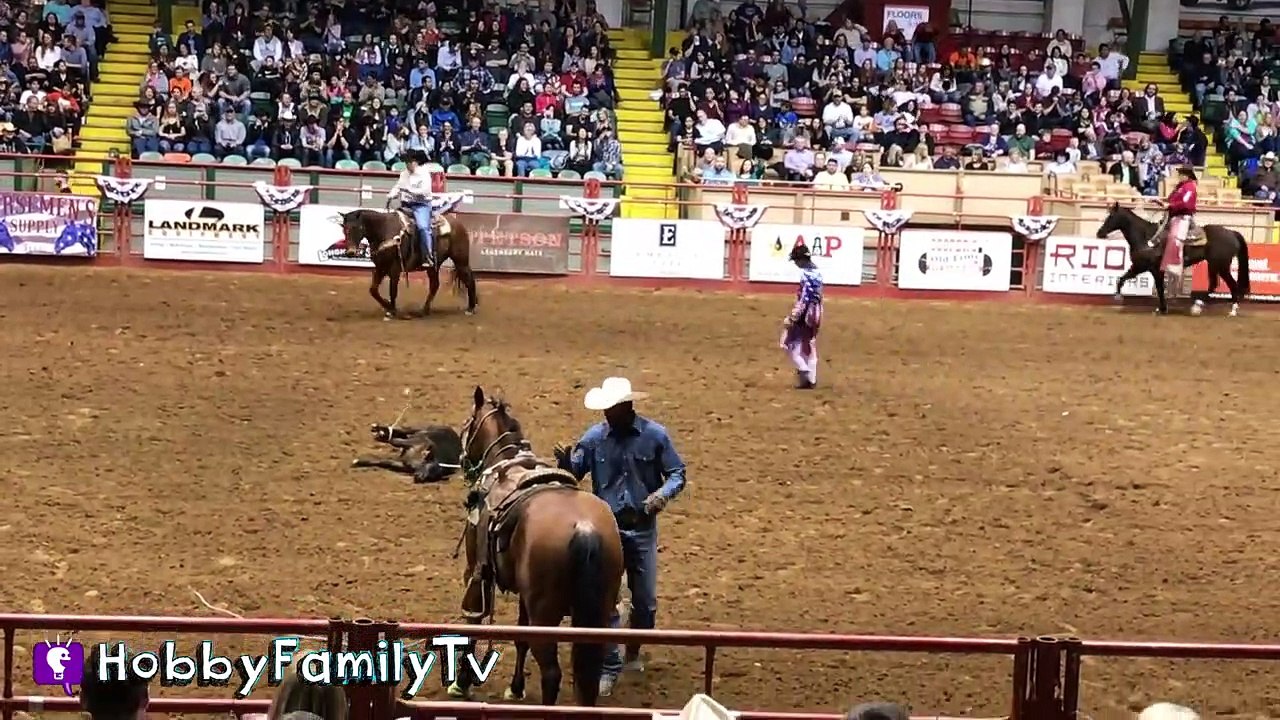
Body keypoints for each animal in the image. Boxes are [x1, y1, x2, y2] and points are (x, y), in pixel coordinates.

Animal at [339, 209, 478, 319]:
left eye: (357, 227)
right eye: (344, 228)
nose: (350, 252)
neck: (384, 230)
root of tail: (459, 225)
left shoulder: (395, 268)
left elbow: (393, 290)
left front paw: (392, 310)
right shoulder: (380, 267)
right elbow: (373, 290)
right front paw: (388, 306)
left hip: (460, 261)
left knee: (469, 279)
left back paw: (470, 308)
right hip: (433, 267)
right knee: (435, 285)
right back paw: (424, 310)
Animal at [448, 386, 623, 707]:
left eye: (467, 424)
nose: (463, 461)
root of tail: (584, 528)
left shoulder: (475, 570)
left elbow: (473, 622)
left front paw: (462, 683)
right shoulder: (524, 595)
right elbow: (520, 636)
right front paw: (515, 687)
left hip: (546, 614)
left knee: (552, 673)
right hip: (596, 613)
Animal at [1095, 203, 1250, 316]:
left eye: (1110, 216)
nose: (1099, 233)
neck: (1146, 238)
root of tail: (1232, 233)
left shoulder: (1155, 269)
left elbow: (1159, 288)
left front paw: (1162, 308)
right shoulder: (1140, 266)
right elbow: (1121, 279)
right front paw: (1118, 296)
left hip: (1221, 265)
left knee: (1231, 285)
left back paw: (1230, 310)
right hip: (1213, 265)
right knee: (1213, 284)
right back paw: (1199, 306)